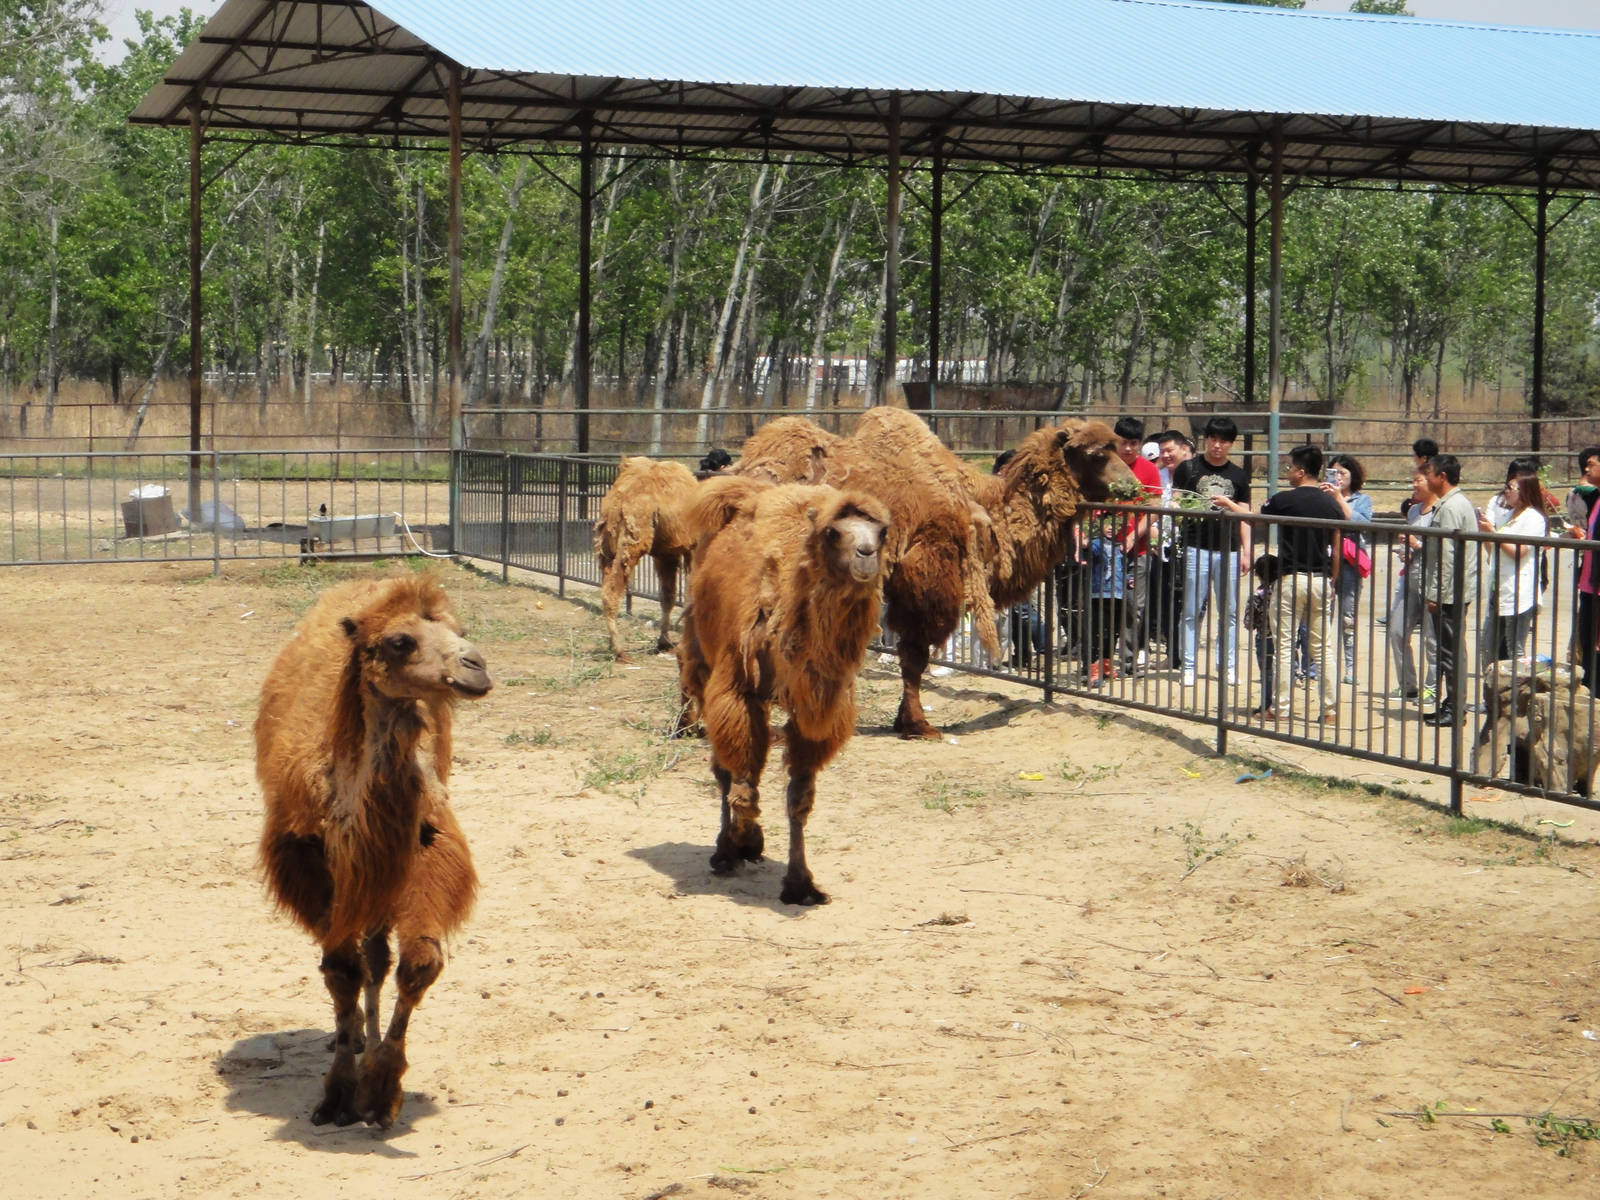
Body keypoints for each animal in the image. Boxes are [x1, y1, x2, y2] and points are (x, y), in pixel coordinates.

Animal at [254, 575, 493, 1128]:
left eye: (460, 631)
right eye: (400, 641)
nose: (476, 666)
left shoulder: (422, 846)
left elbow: (417, 963)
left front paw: (381, 1090)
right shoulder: (309, 864)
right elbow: (340, 971)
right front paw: (337, 1096)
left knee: (379, 959)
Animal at [676, 476, 891, 905]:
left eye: (883, 531)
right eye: (832, 532)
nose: (866, 555)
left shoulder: (816, 712)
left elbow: (800, 798)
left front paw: (800, 883)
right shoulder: (738, 689)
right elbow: (742, 780)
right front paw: (742, 841)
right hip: (701, 660)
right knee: (723, 768)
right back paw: (726, 850)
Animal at [734, 408, 1136, 737]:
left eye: (1117, 448)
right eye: (1097, 454)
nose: (1130, 485)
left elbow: (911, 655)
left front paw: (903, 720)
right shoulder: (927, 575)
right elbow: (915, 656)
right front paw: (918, 725)